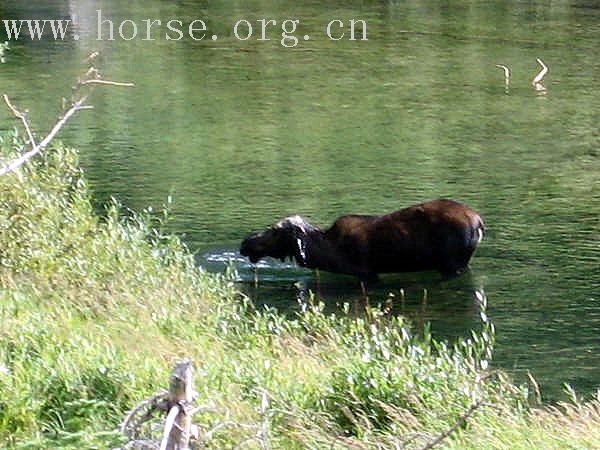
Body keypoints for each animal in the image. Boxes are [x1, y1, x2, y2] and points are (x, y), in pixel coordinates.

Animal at [239, 199, 482, 280]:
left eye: (274, 230)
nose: (245, 243)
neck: (326, 253)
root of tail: (479, 223)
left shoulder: (366, 272)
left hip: (451, 262)